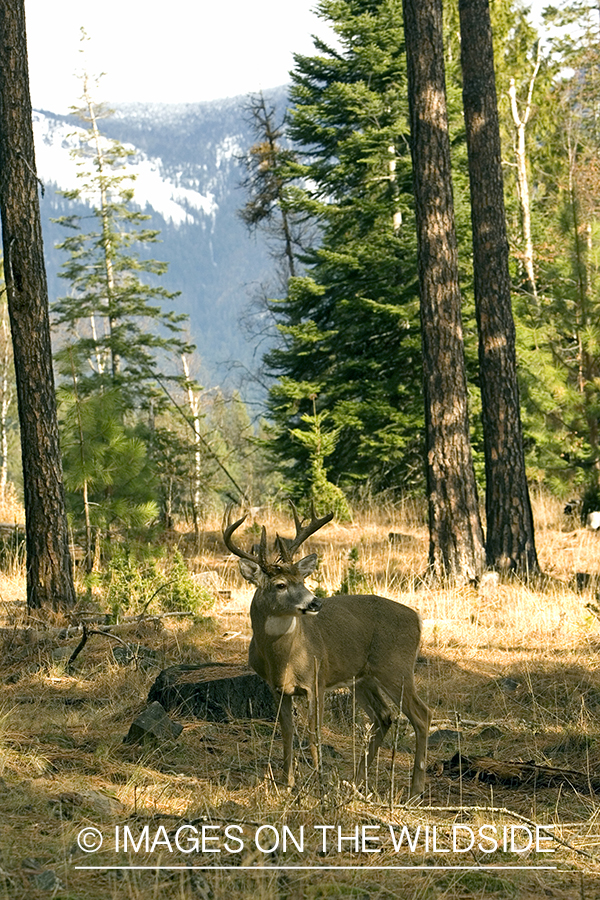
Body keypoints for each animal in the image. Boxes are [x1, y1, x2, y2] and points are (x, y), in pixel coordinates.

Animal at [223, 506, 428, 796]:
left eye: (302, 579)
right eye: (281, 585)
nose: (315, 602)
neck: (284, 659)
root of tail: (418, 619)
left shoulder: (316, 680)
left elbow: (314, 732)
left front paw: (319, 783)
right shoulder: (276, 688)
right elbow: (287, 732)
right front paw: (288, 782)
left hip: (396, 667)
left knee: (421, 715)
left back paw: (415, 789)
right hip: (362, 678)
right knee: (384, 717)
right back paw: (356, 781)